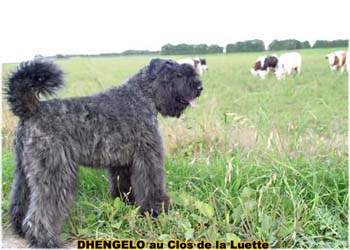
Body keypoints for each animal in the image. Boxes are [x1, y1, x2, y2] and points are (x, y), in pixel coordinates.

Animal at [4, 58, 202, 248]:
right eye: (177, 74)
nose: (199, 87)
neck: (142, 96)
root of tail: (31, 110)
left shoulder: (123, 162)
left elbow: (124, 187)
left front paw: (127, 206)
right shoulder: (148, 156)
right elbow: (152, 186)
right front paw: (156, 213)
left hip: (24, 171)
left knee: (20, 200)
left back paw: (20, 229)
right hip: (54, 172)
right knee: (41, 209)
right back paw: (44, 239)